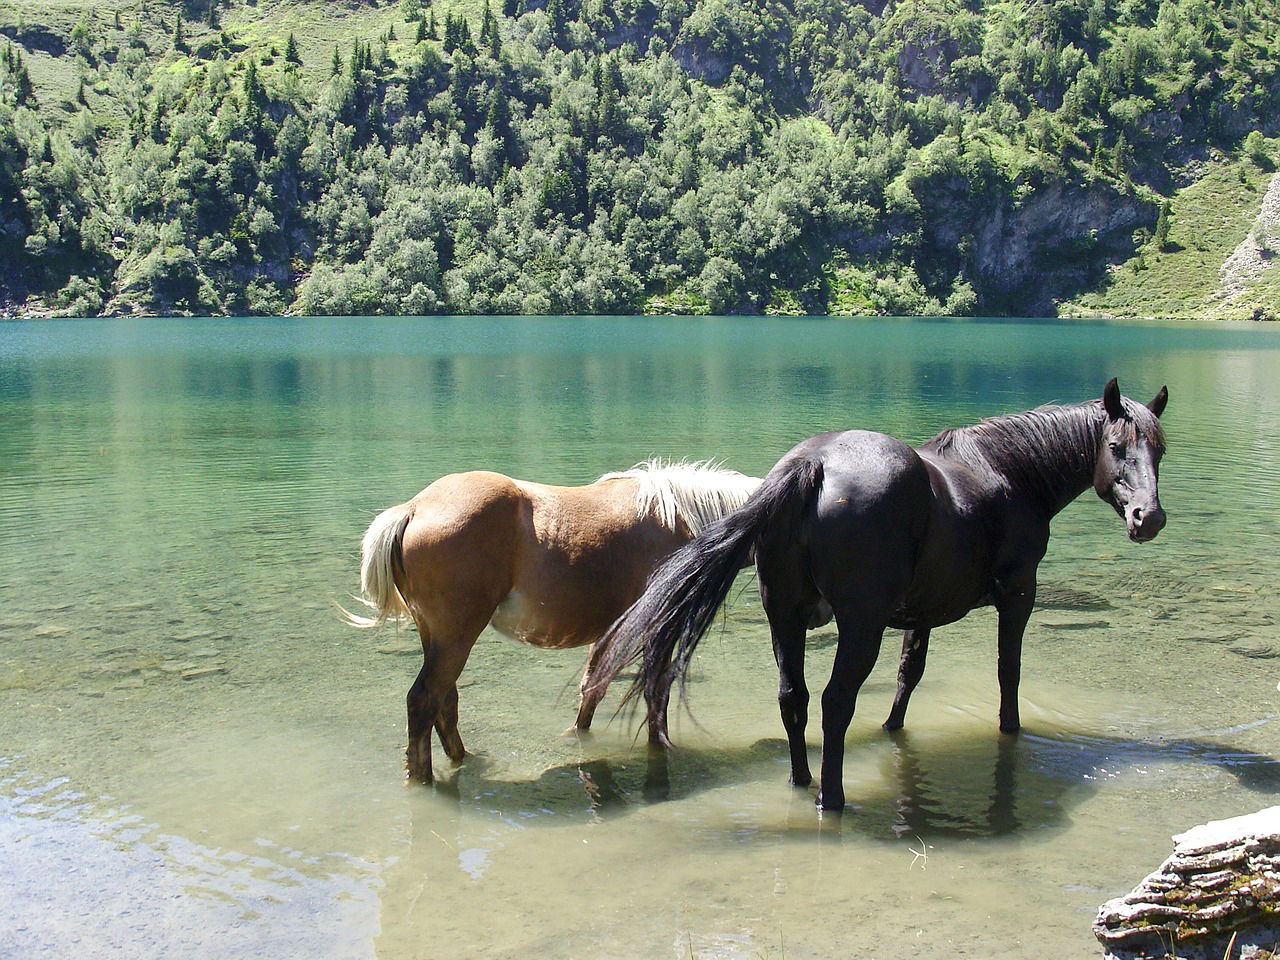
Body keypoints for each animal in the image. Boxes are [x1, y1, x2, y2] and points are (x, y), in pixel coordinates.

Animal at [345, 463, 757, 783]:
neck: (682, 521)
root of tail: (414, 508)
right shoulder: (660, 628)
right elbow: (656, 694)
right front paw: (660, 750)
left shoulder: (610, 631)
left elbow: (592, 687)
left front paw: (576, 735)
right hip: (456, 637)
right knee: (423, 701)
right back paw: (423, 779)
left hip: (435, 636)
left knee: (445, 702)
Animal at [593, 381, 1167, 814]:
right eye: (1117, 447)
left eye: (1159, 450)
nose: (1150, 518)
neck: (1008, 474)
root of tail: (810, 467)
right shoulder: (1018, 594)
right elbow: (1009, 671)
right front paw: (1010, 730)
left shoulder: (923, 613)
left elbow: (909, 672)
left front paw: (893, 727)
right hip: (860, 627)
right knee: (834, 702)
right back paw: (832, 797)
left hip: (786, 619)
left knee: (794, 699)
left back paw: (802, 781)